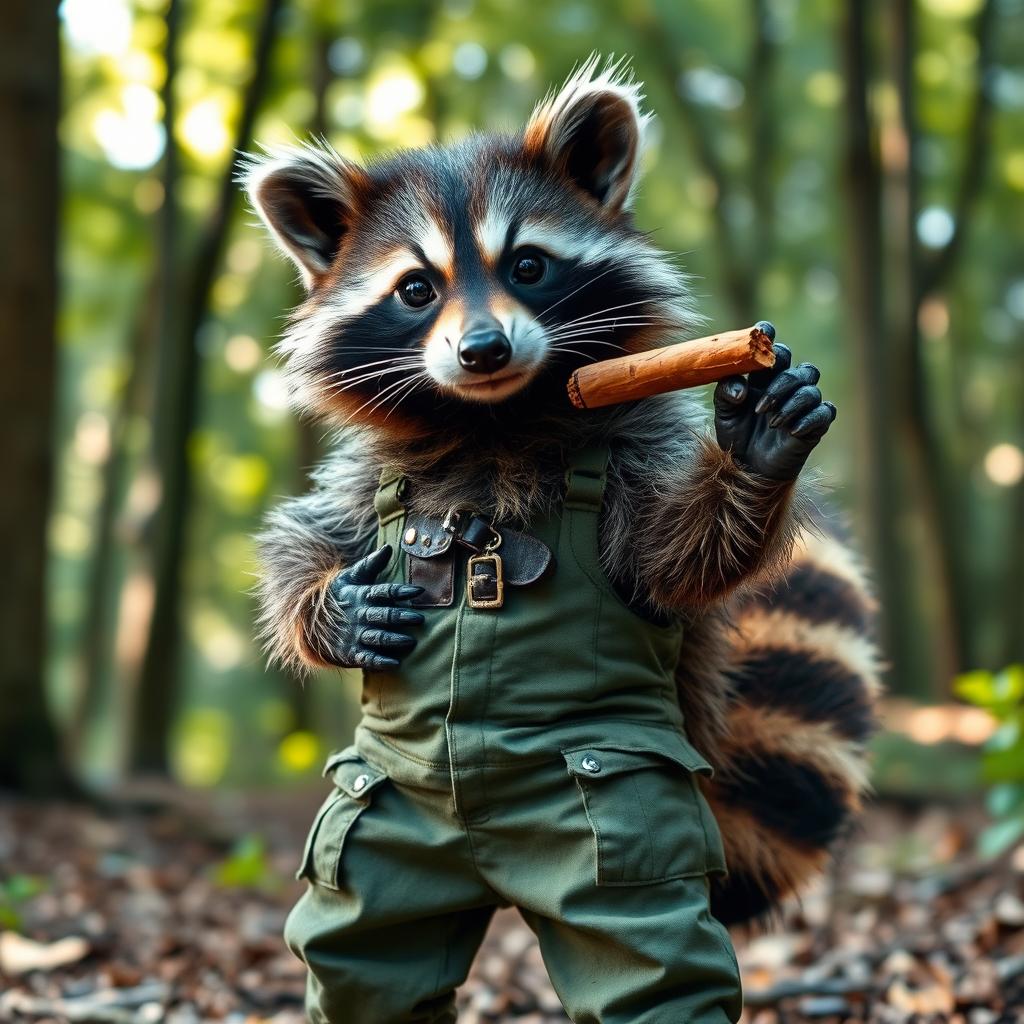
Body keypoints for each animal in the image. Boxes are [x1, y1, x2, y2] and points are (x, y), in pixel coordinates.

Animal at [245, 59, 880, 933]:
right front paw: (326, 606)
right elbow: (302, 538)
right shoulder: (367, 473)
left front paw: (756, 450)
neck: (496, 415)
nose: (483, 350)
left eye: (527, 266)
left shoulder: (638, 442)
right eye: (416, 289)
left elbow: (674, 562)